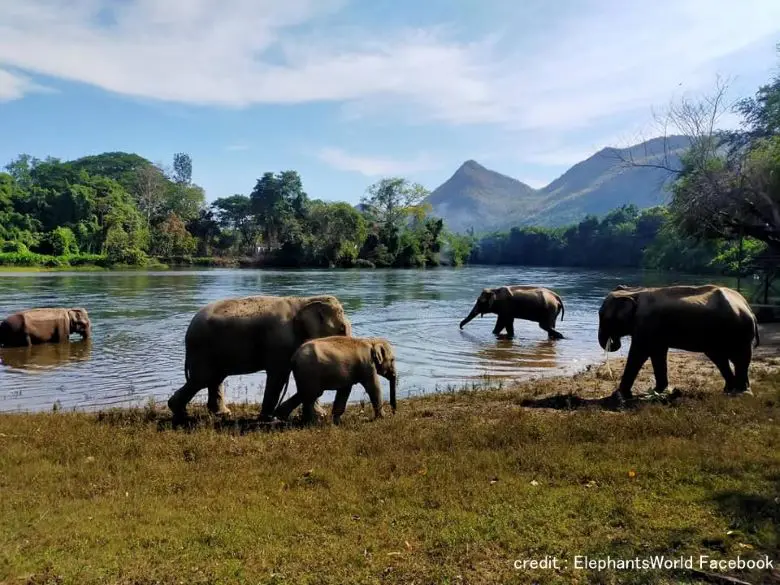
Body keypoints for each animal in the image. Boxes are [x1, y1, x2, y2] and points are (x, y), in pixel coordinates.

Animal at [171, 296, 356, 420]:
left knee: (215, 379)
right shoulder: (279, 342)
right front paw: (268, 418)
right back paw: (179, 412)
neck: (305, 300)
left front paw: (319, 415)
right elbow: (278, 375)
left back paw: (222, 413)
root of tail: (189, 327)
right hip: (202, 349)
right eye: (341, 329)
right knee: (201, 379)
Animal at [596, 284, 760, 402]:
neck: (634, 292)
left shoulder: (646, 323)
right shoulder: (655, 331)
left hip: (739, 332)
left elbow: (639, 353)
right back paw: (729, 390)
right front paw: (659, 391)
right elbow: (657, 353)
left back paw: (742, 393)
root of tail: (748, 307)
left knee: (740, 358)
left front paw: (618, 396)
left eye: (602, 315)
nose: (614, 342)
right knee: (722, 358)